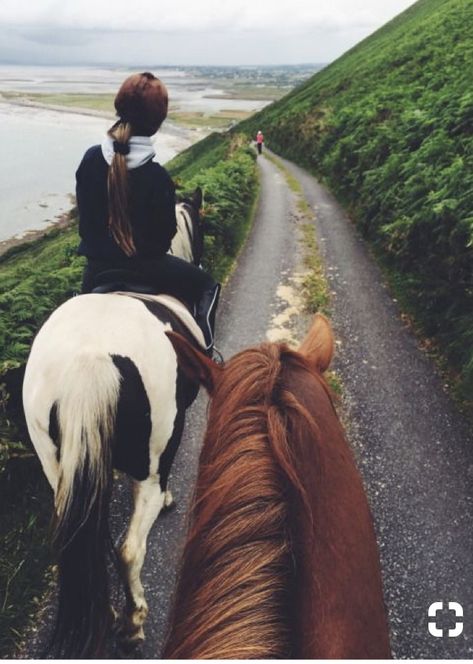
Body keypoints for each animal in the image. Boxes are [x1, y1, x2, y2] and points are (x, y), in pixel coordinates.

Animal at [23, 189, 205, 656]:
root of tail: (90, 359)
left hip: (57, 465)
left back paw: (104, 614)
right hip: (151, 456)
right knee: (129, 549)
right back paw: (133, 621)